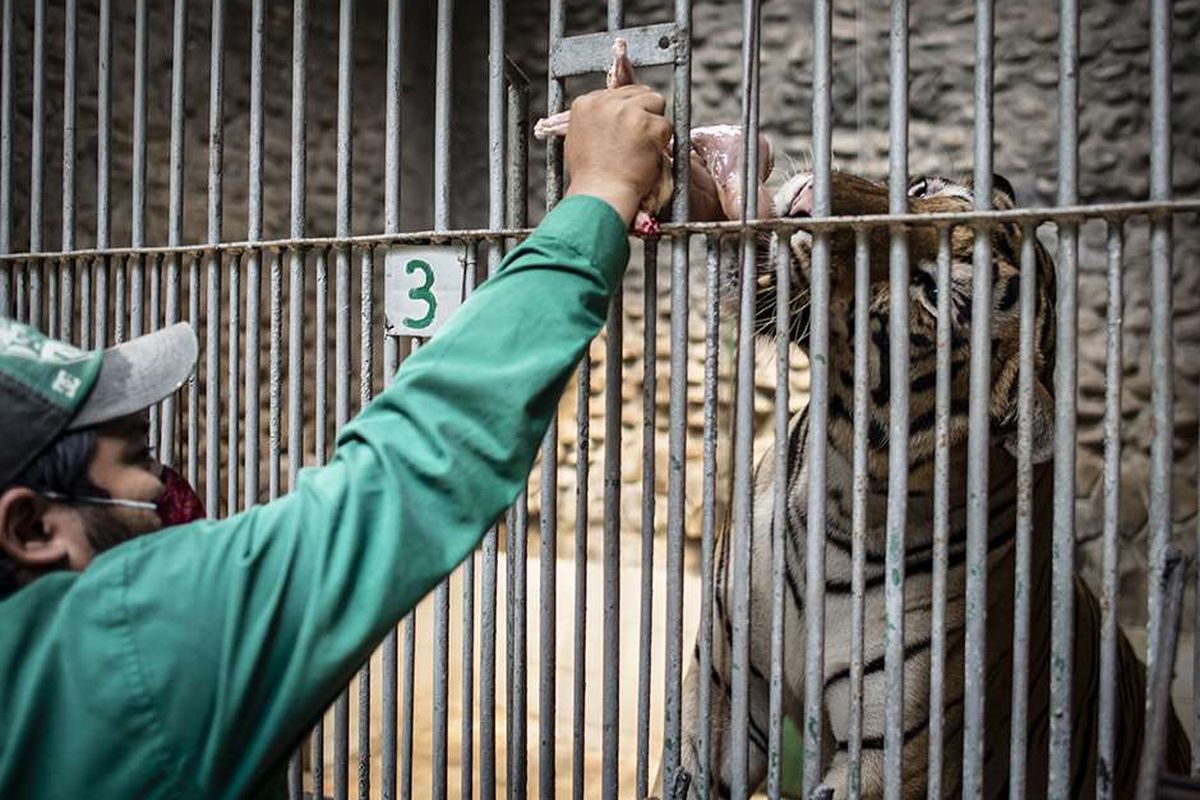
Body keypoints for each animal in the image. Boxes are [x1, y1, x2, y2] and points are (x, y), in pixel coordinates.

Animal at [652, 172, 1195, 796]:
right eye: (919, 188)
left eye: (932, 291)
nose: (805, 202)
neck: (837, 479)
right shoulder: (722, 687)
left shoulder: (887, 762)